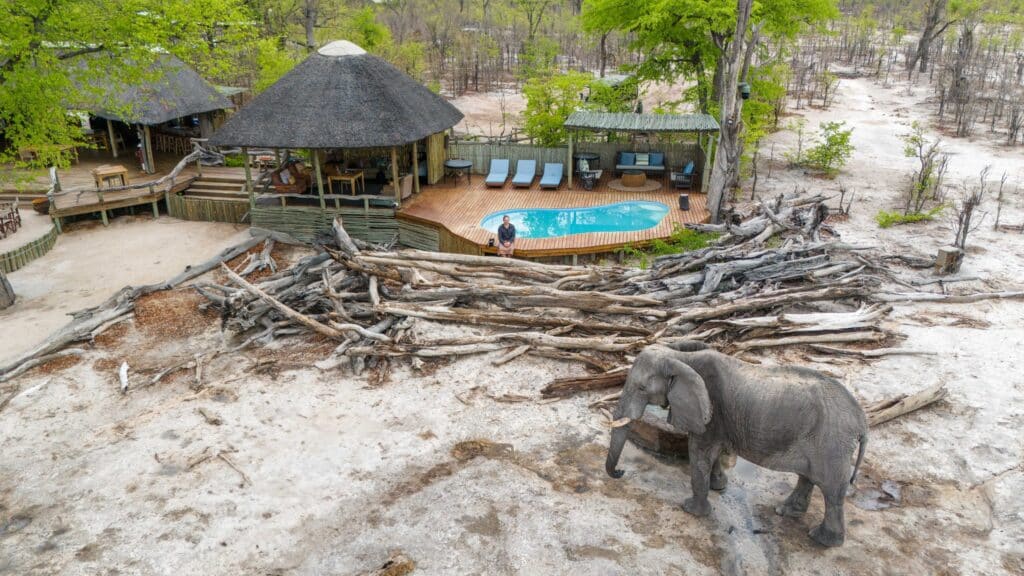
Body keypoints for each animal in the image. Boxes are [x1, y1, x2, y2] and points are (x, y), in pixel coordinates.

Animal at [605, 341, 867, 547]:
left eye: (641, 388)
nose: (621, 472)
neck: (679, 357)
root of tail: (861, 419)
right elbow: (713, 451)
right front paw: (717, 487)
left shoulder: (711, 409)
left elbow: (700, 452)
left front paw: (691, 509)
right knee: (809, 477)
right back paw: (786, 512)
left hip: (831, 444)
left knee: (831, 491)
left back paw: (821, 539)